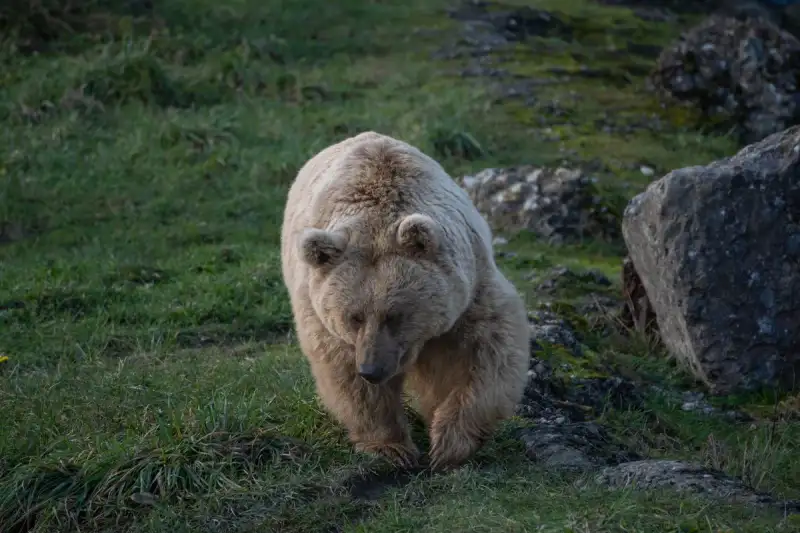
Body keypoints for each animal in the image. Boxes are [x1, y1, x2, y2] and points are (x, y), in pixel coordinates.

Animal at [280, 131, 530, 470]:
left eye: (394, 314)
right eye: (353, 317)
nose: (372, 369)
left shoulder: (468, 294)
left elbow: (486, 353)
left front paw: (449, 444)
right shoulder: (324, 318)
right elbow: (347, 377)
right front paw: (392, 447)